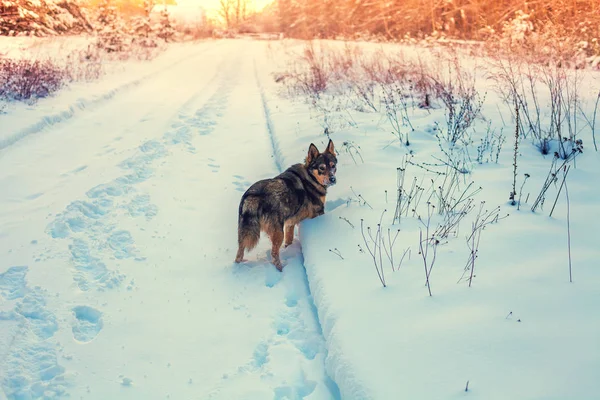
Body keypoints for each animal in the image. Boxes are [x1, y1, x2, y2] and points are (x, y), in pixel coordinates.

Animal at [234, 139, 338, 270]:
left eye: (333, 166)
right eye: (321, 168)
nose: (333, 179)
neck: (310, 178)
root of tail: (253, 195)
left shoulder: (290, 223)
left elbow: (289, 239)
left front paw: (288, 248)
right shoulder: (318, 213)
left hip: (244, 233)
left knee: (239, 252)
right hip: (278, 233)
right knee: (274, 254)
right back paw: (280, 269)